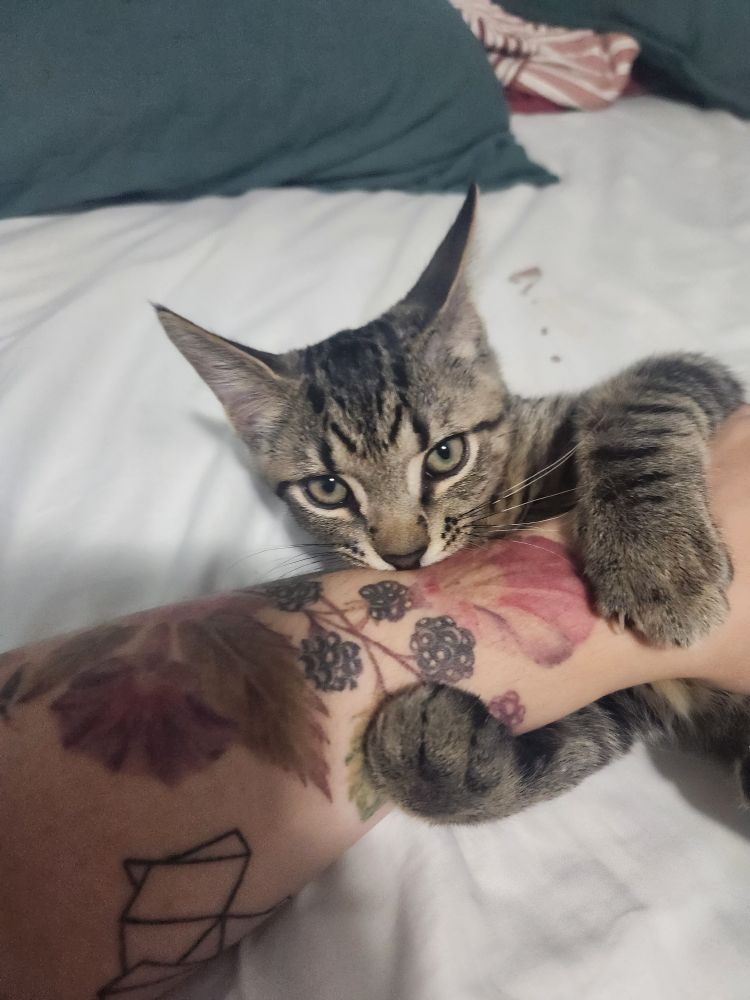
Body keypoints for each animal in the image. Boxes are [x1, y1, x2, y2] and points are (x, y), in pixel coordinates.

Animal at [155, 186, 748, 823]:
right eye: (329, 490)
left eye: (445, 454)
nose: (404, 554)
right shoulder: (630, 688)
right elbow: (583, 734)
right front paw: (440, 752)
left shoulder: (701, 382)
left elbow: (641, 405)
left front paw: (658, 565)